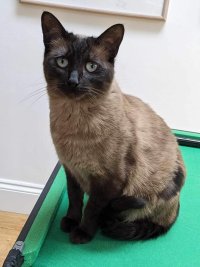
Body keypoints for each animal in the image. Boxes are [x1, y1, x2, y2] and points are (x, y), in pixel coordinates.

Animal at [40, 11, 186, 245]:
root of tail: (175, 211)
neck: (74, 122)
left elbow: (92, 209)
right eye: (62, 62)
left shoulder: (109, 181)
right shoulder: (71, 170)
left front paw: (82, 233)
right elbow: (74, 199)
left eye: (91, 67)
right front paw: (71, 221)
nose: (73, 82)